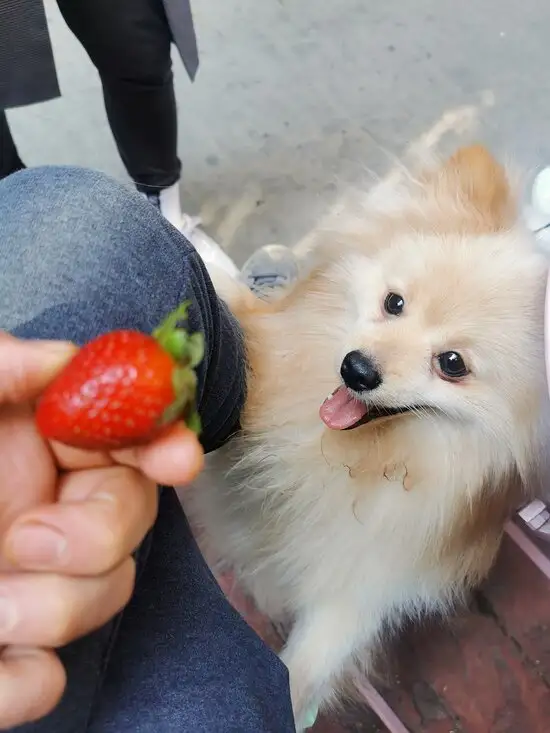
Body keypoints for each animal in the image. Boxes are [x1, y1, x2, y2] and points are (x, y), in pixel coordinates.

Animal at [188, 144, 548, 728]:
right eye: (393, 302)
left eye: (452, 363)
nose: (355, 369)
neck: (364, 459)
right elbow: (227, 299)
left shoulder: (365, 580)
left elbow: (307, 669)